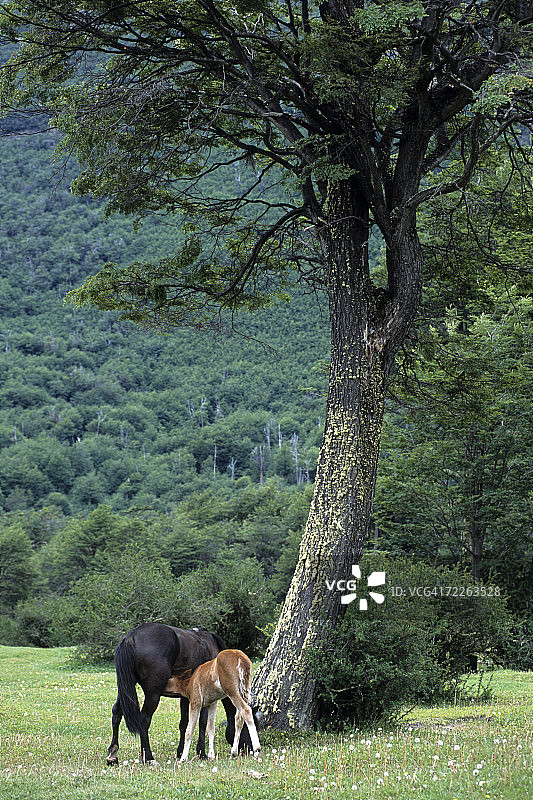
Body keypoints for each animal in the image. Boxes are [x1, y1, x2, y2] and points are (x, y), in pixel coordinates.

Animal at [106, 622, 256, 765]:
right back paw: (148, 757)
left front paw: (180, 751)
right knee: (144, 720)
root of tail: (131, 637)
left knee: (117, 713)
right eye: (245, 725)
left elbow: (184, 723)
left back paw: (113, 755)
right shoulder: (202, 698)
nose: (247, 749)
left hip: (126, 689)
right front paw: (201, 753)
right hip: (153, 695)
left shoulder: (186, 697)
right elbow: (202, 722)